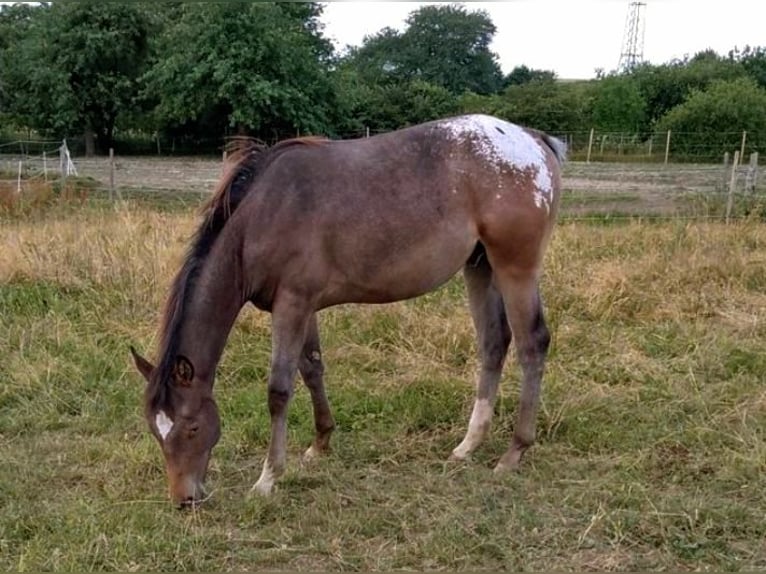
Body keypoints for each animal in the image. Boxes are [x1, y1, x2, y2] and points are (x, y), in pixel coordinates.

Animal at [130, 114, 566, 508]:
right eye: (156, 430)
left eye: (192, 427)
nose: (184, 499)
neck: (262, 215)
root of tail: (532, 139)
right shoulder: (300, 305)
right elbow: (312, 369)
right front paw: (320, 443)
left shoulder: (292, 304)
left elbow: (279, 390)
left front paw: (268, 478)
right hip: (479, 266)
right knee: (493, 343)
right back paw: (467, 445)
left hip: (514, 267)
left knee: (532, 344)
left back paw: (514, 452)